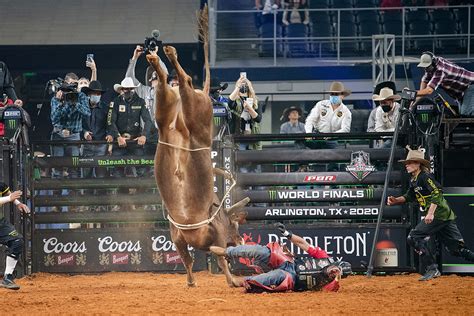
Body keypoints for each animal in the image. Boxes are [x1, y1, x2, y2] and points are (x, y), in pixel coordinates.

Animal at [145, 7, 248, 286]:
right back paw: (168, 57)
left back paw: (157, 59)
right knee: (187, 79)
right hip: (199, 117)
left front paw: (191, 280)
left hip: (165, 112)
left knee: (169, 84)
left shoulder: (177, 237)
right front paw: (233, 280)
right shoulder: (217, 236)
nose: (240, 239)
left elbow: (187, 259)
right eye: (236, 226)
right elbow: (220, 257)